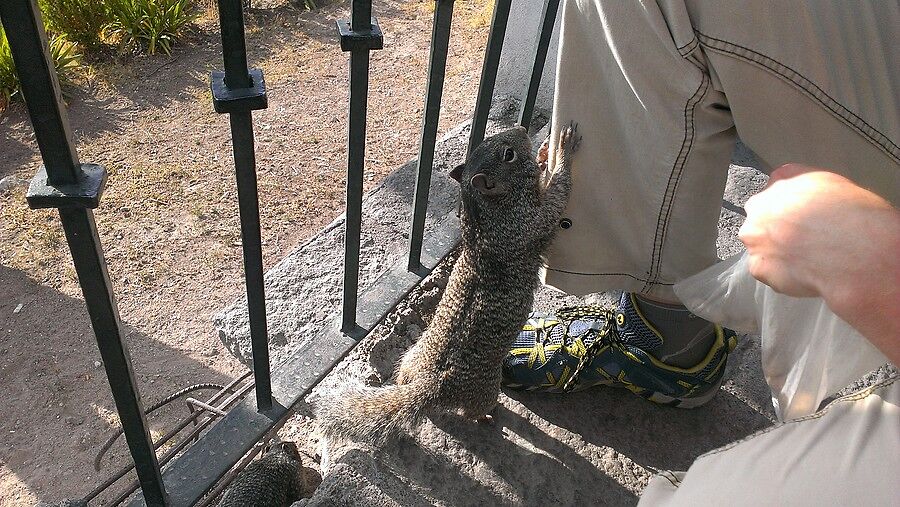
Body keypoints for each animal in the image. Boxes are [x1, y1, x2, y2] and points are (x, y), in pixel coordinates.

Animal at [316, 125, 584, 446]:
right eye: (508, 155)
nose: (521, 128)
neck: (483, 211)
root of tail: (431, 386)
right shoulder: (527, 221)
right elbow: (557, 193)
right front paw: (563, 149)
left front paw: (544, 151)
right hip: (486, 389)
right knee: (472, 412)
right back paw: (488, 418)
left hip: (411, 358)